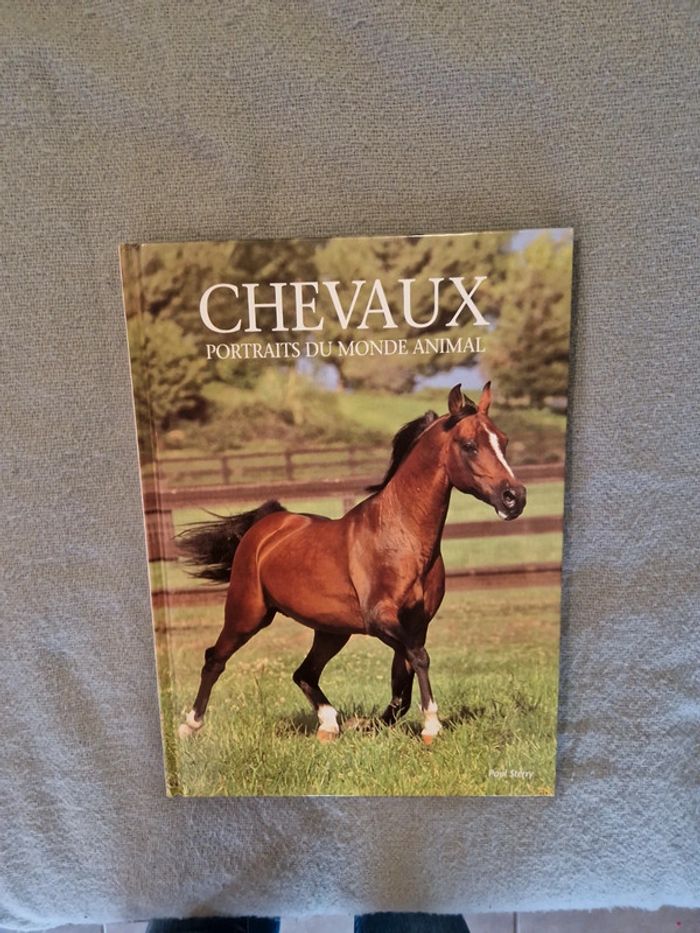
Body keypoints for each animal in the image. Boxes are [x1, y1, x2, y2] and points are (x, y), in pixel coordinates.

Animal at [177, 382, 526, 745]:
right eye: (470, 445)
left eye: (504, 440)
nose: (514, 498)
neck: (401, 538)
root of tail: (267, 526)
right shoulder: (380, 619)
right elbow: (419, 658)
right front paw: (431, 725)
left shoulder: (417, 623)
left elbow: (402, 685)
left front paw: (371, 725)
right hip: (247, 614)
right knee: (215, 659)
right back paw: (190, 725)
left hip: (331, 631)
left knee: (304, 673)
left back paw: (329, 725)